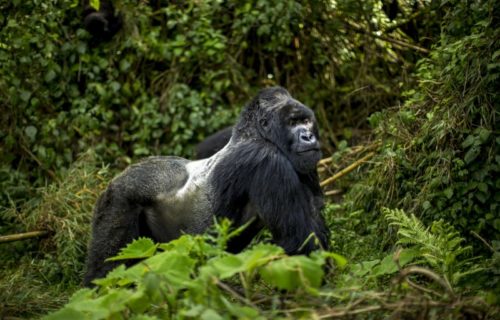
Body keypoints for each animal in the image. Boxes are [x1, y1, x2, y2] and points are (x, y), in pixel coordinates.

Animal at [84, 87, 330, 284]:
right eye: (292, 123)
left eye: (306, 121)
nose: (308, 137)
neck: (255, 134)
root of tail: (117, 177)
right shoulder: (267, 160)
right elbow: (298, 241)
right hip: (118, 198)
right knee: (107, 270)